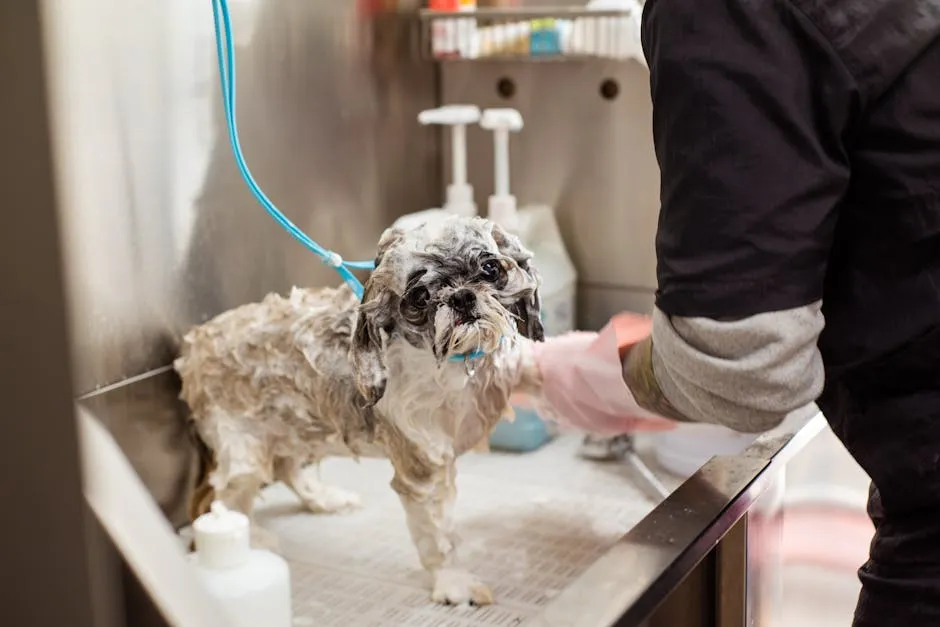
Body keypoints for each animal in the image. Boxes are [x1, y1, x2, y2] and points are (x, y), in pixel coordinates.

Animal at [175, 215, 544, 604]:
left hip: (293, 422)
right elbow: (439, 537)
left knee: (287, 467)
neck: (452, 367)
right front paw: (454, 583)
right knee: (224, 498)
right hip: (243, 447)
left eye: (490, 268)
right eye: (420, 296)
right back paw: (252, 538)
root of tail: (193, 346)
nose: (462, 296)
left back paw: (324, 498)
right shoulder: (422, 466)